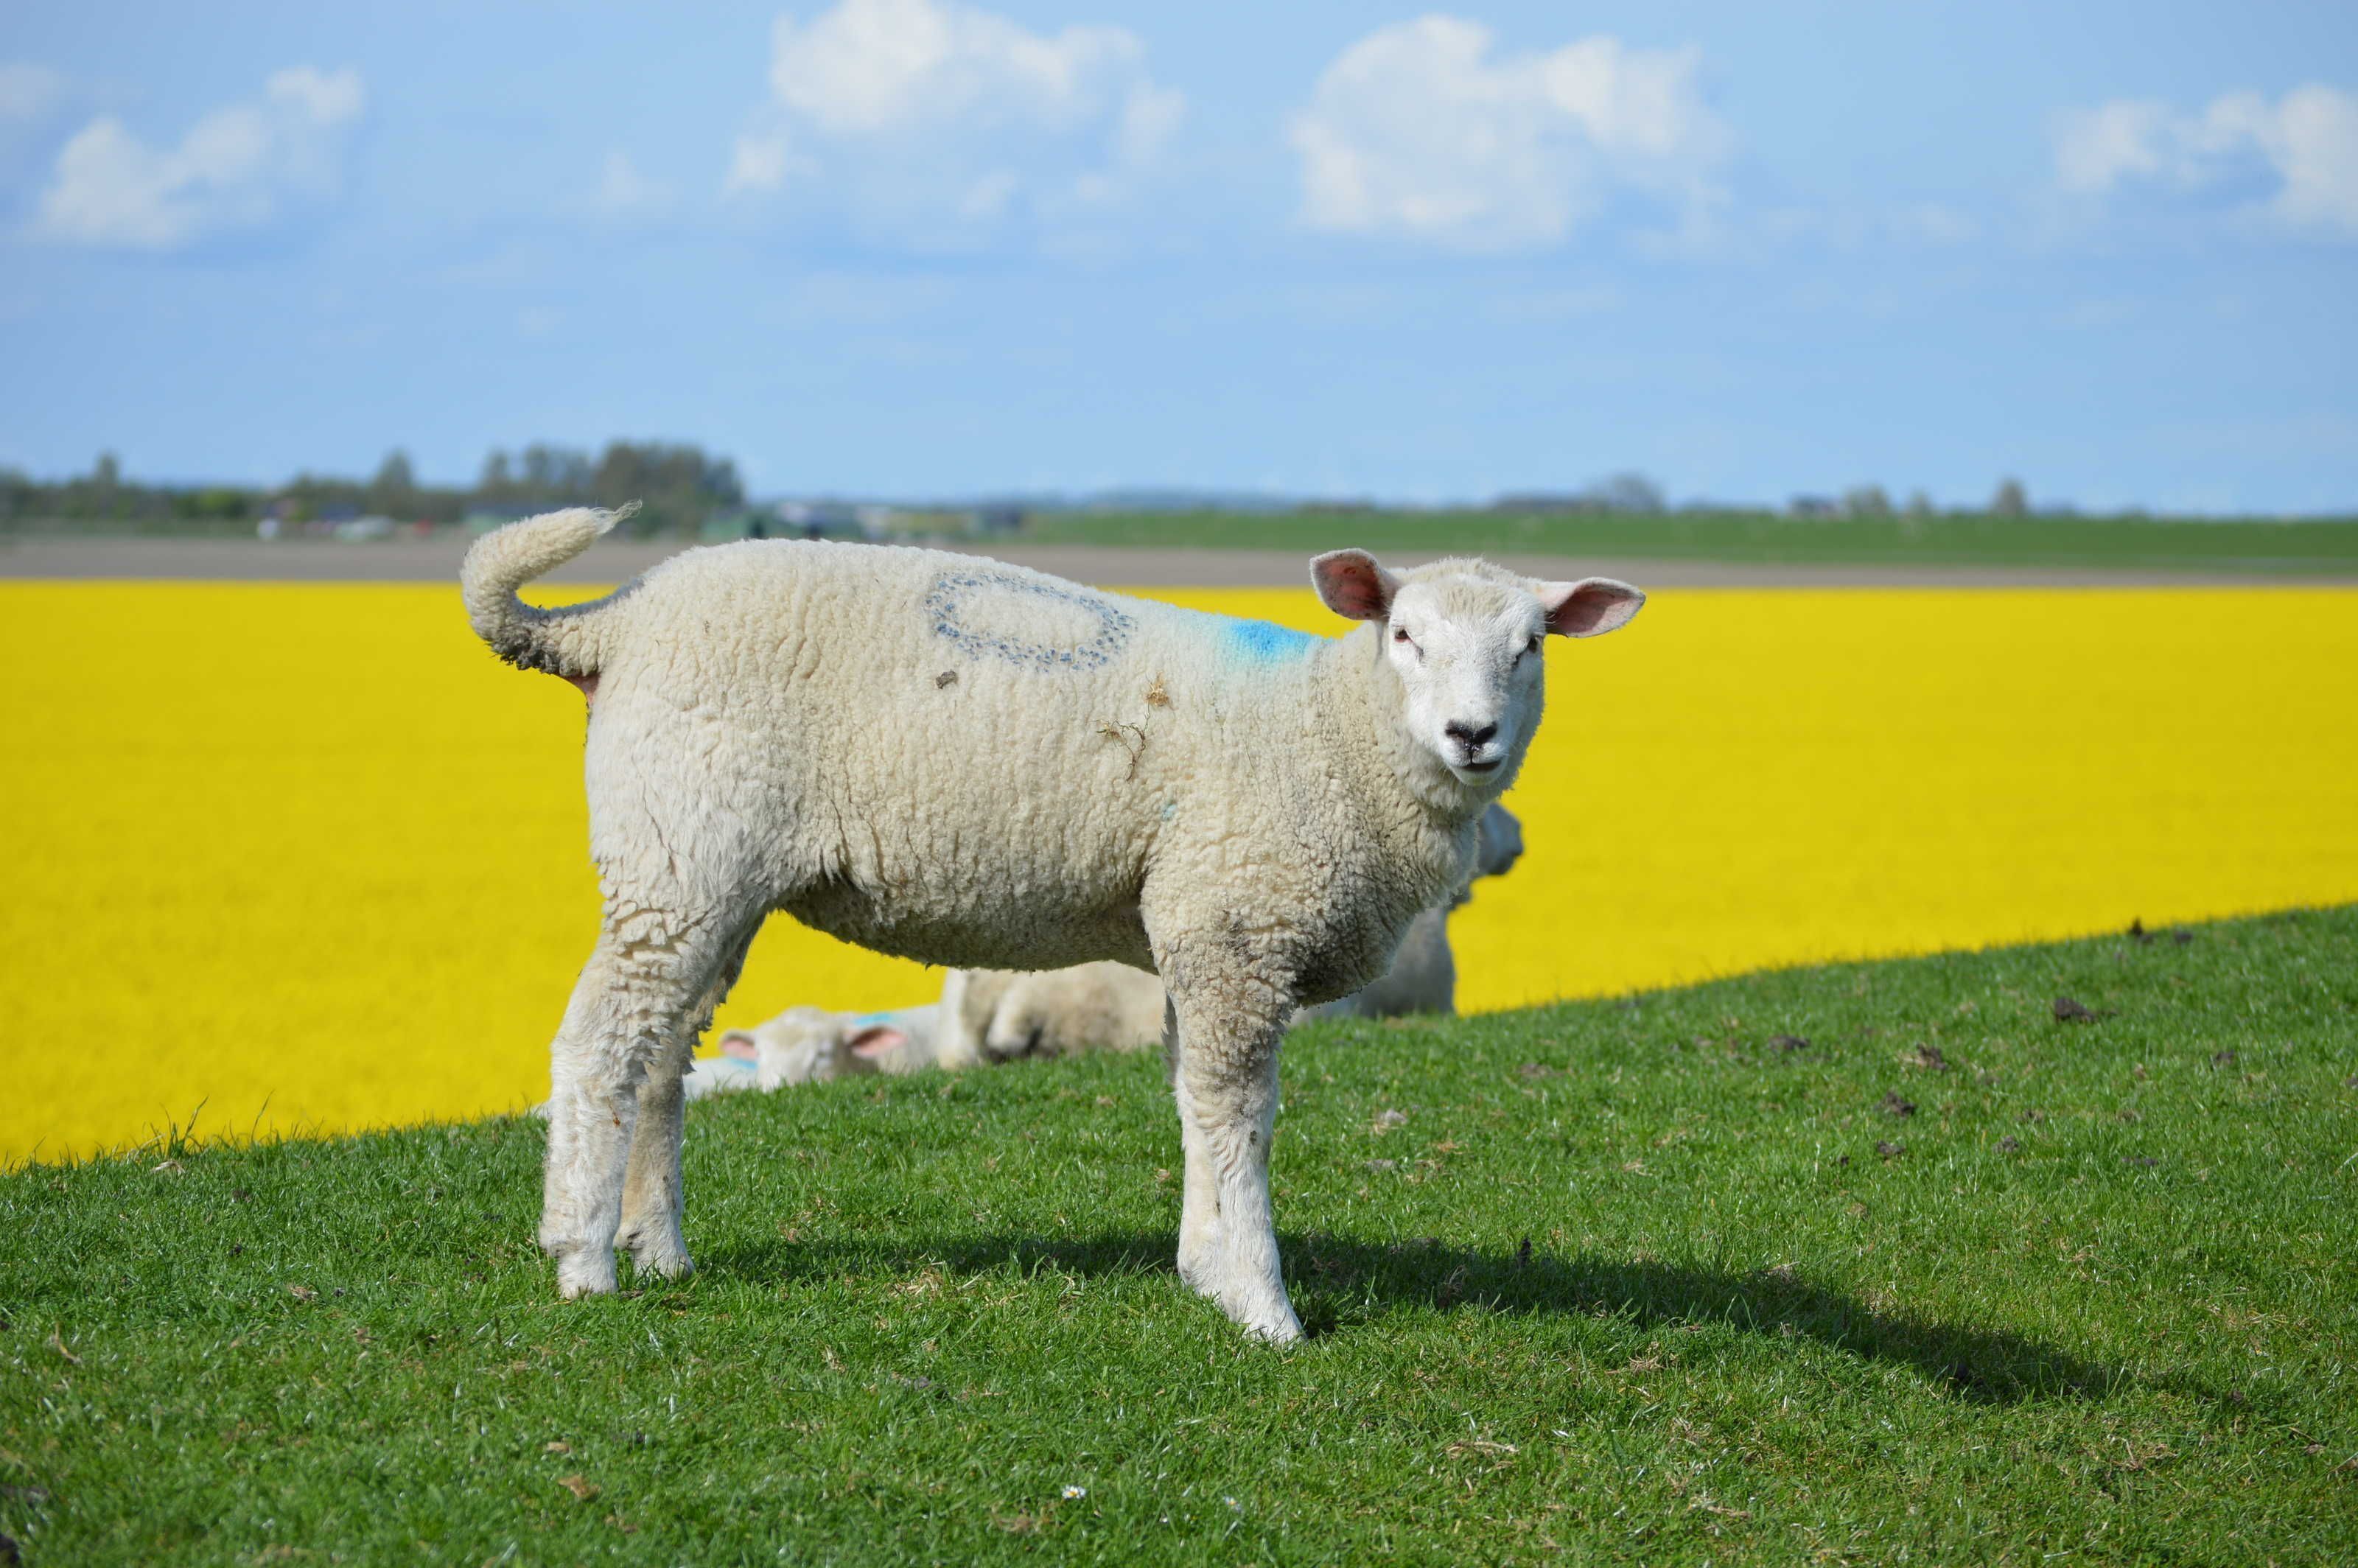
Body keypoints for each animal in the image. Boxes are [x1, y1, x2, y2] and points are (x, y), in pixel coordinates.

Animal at [462, 507, 1642, 1340]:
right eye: (1402, 634)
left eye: (1532, 645)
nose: (1472, 734)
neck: (1326, 731)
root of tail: (615, 618)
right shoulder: (1234, 930)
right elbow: (1238, 1118)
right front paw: (1261, 1303)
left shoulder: (1192, 934)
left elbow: (1193, 1107)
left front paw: (1203, 1269)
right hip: (678, 846)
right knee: (600, 1046)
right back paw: (583, 1261)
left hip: (711, 873)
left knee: (663, 1052)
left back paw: (658, 1246)